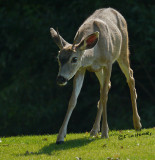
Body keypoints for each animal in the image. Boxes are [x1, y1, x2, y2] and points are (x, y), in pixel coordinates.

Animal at [50, 8, 142, 144]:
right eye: (58, 58)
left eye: (74, 59)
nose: (61, 78)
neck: (94, 54)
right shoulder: (82, 68)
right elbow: (73, 100)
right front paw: (60, 136)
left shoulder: (108, 63)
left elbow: (104, 97)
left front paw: (105, 133)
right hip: (98, 70)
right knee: (107, 85)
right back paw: (94, 130)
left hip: (123, 50)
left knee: (130, 76)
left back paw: (137, 124)